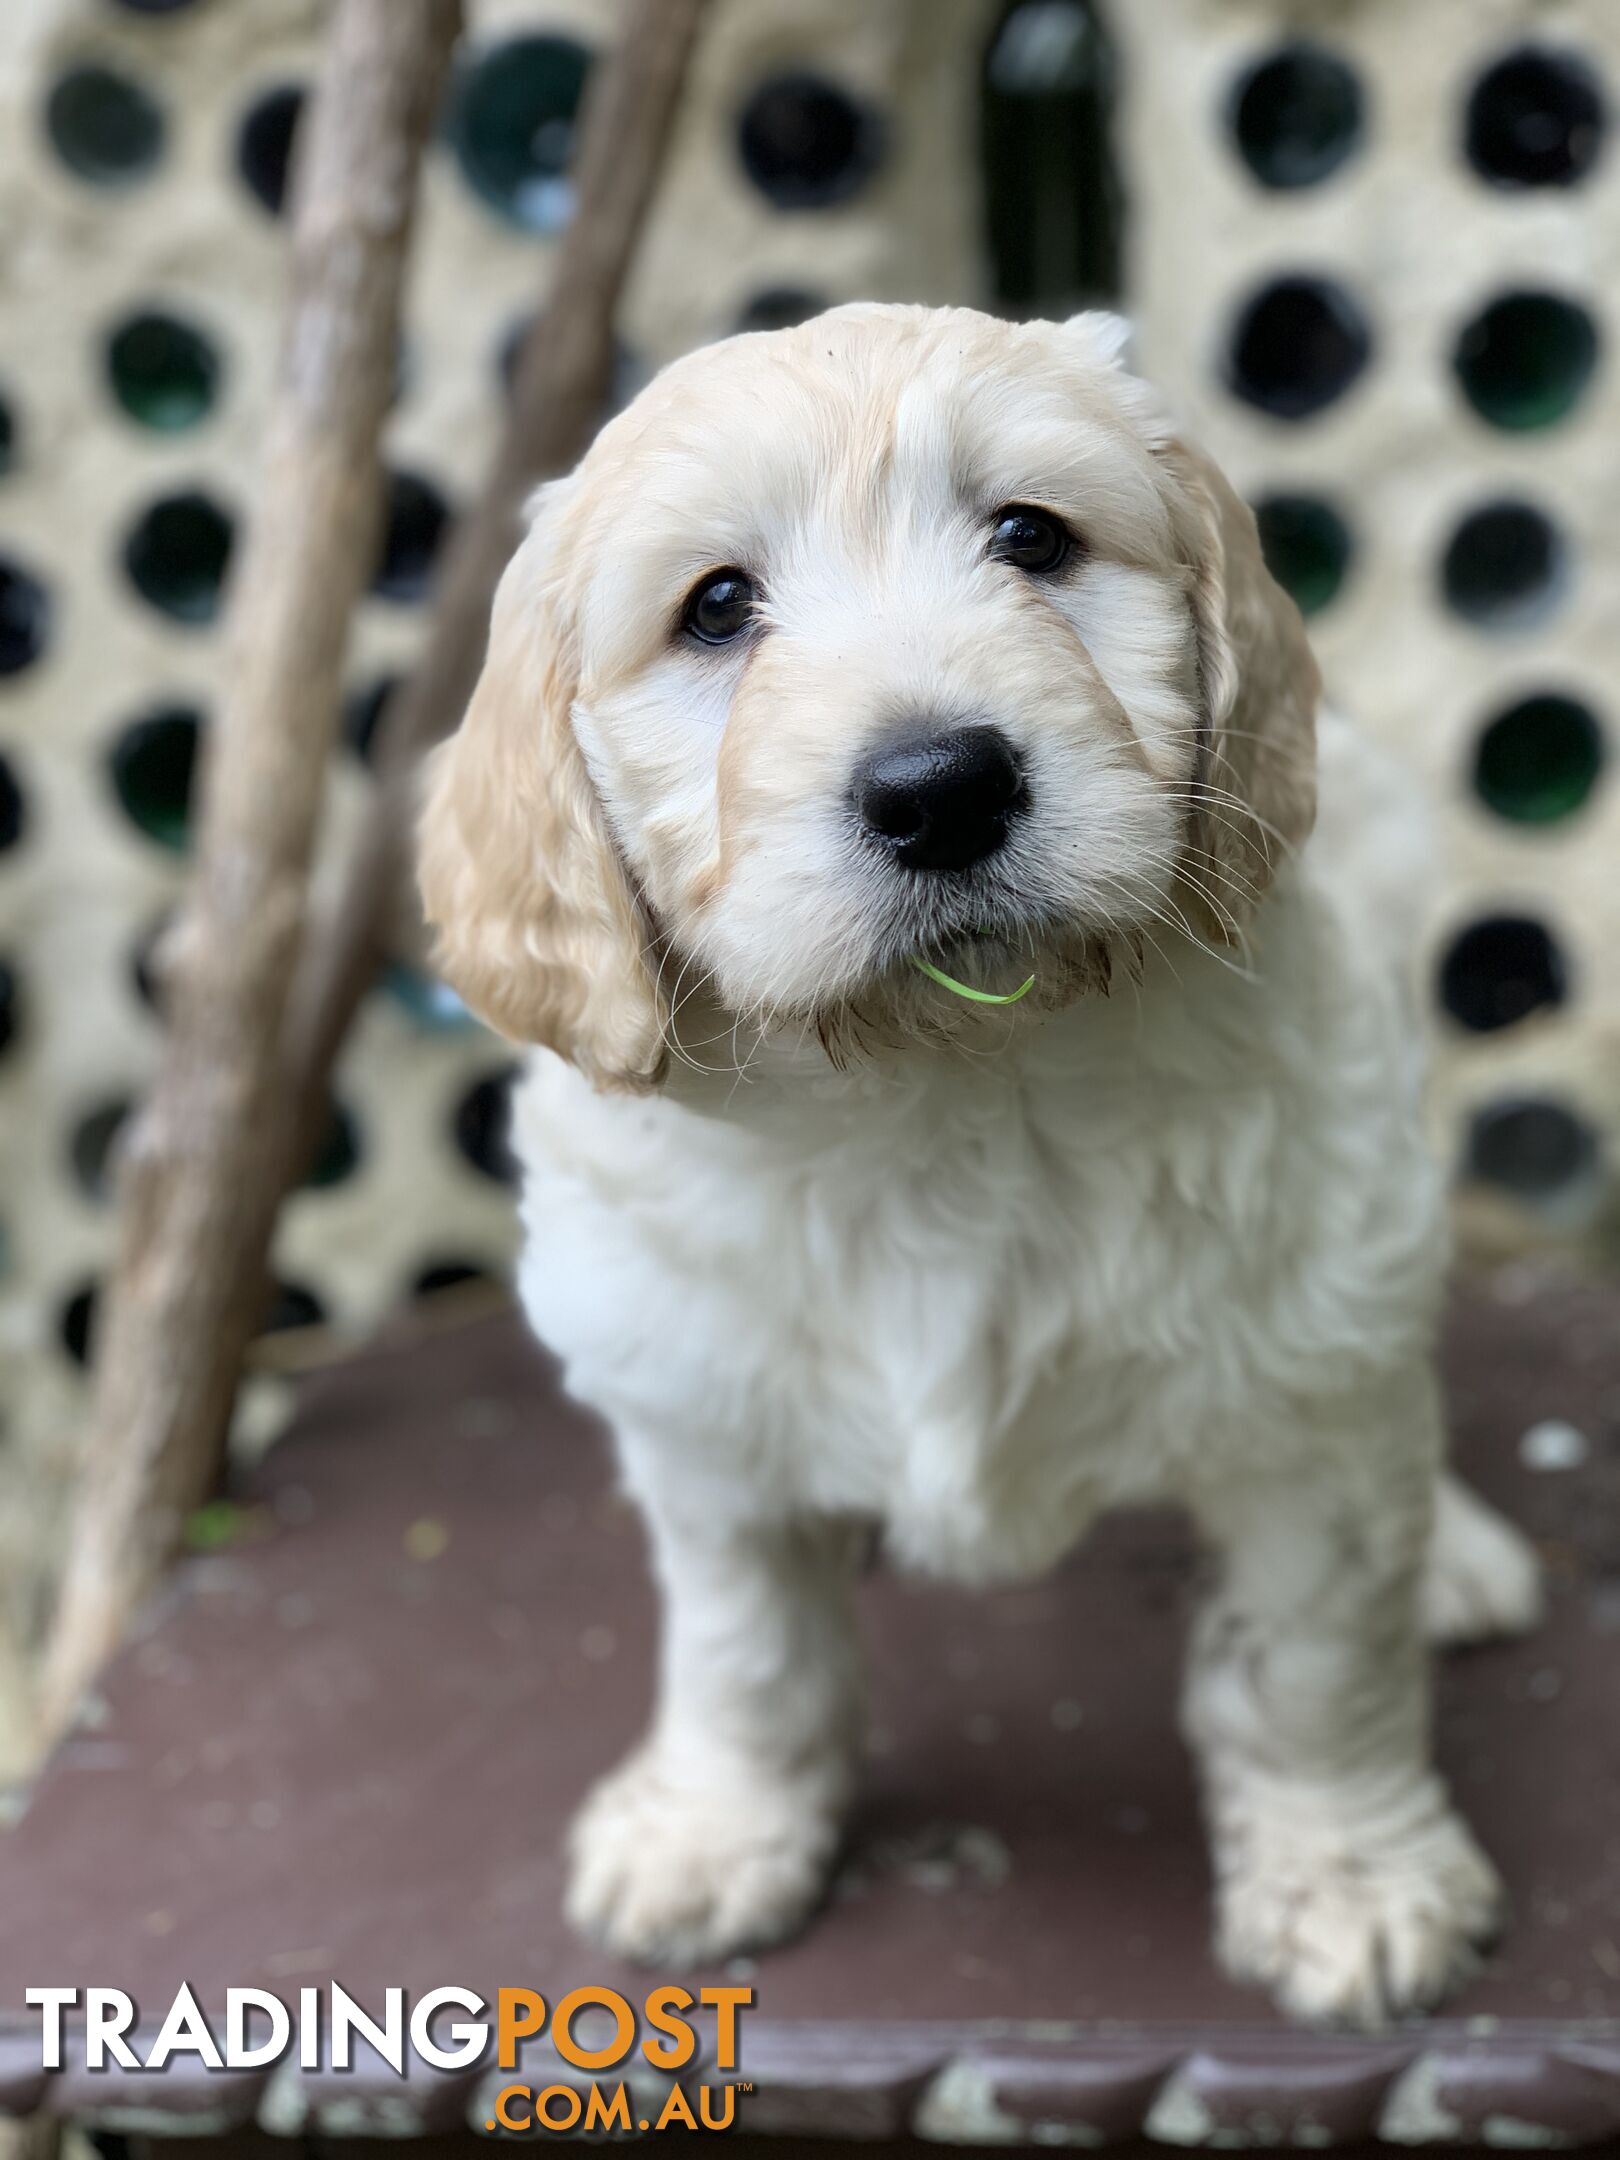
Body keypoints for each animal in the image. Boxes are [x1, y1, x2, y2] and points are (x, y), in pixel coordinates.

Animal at [419, 304, 1546, 2021]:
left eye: (1032, 537)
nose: (939, 788)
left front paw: (1355, 1877)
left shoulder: (1305, 1404)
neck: (943, 1094)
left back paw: (1458, 1555)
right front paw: (715, 1832)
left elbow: (1312, 1665)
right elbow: (746, 1656)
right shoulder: (697, 1411)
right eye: (716, 606)